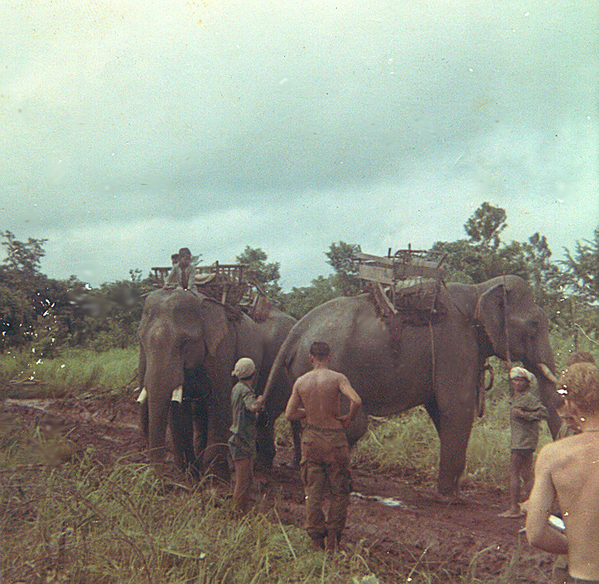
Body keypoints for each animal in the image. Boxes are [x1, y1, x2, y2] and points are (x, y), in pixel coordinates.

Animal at [136, 288, 296, 474]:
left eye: (184, 343)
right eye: (141, 340)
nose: (154, 476)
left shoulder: (222, 349)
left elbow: (220, 402)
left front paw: (214, 475)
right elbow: (179, 410)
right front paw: (190, 473)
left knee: (266, 414)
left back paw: (261, 467)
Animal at [264, 276, 564, 496]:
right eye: (534, 324)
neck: (480, 289)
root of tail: (297, 329)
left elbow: (441, 411)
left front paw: (455, 490)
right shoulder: (456, 344)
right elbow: (457, 408)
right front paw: (450, 498)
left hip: (300, 372)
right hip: (329, 369)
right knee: (350, 426)